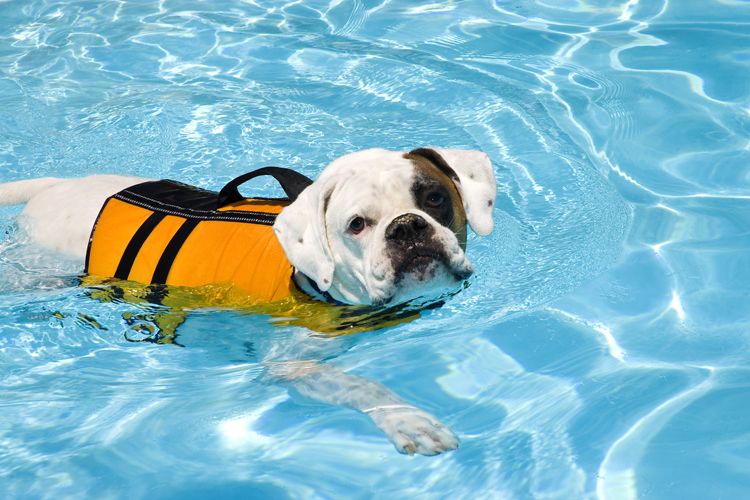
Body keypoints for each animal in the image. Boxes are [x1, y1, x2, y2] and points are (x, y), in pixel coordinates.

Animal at [0, 146, 500, 456]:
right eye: (357, 225)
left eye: (435, 198)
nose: (406, 227)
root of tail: (54, 187)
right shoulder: (294, 364)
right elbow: (360, 386)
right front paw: (409, 421)